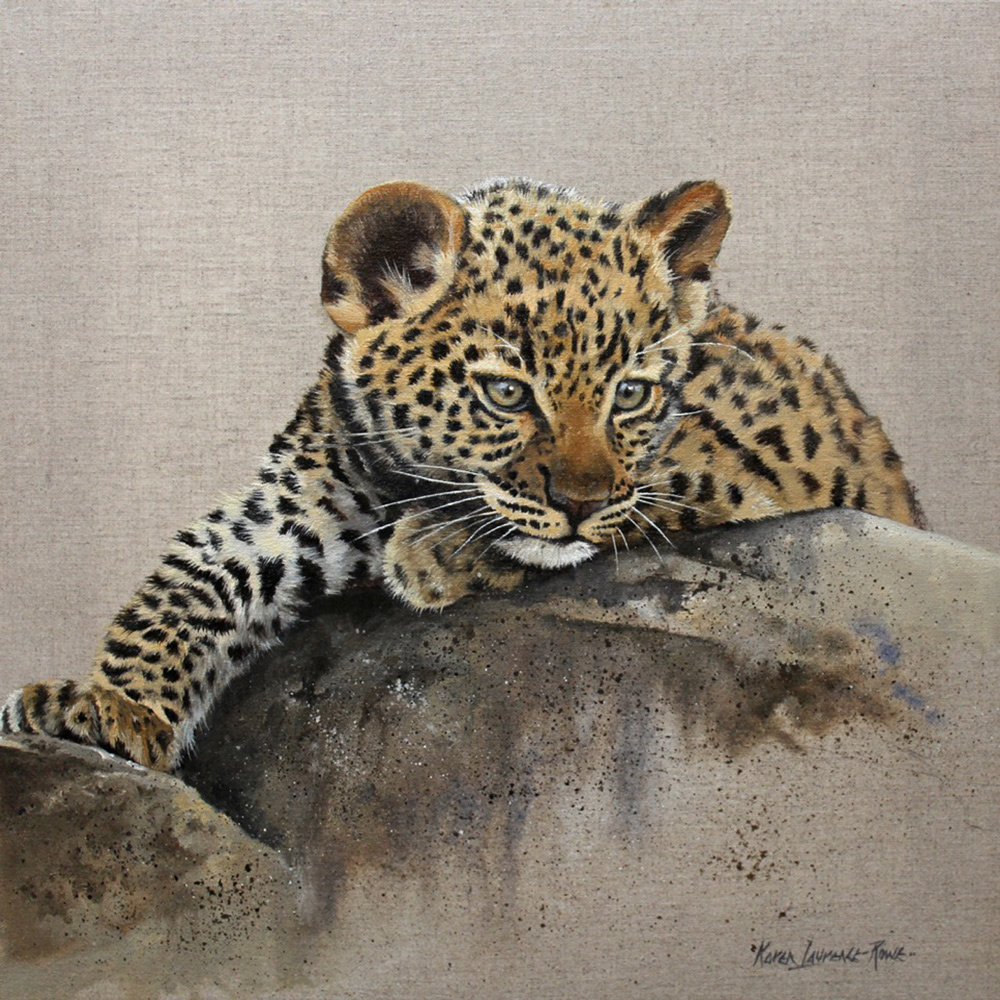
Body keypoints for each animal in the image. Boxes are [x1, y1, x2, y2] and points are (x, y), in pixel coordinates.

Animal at [1, 177, 924, 771]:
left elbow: (655, 484)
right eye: (506, 392)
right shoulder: (287, 505)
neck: (407, 482)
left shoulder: (744, 449)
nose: (580, 502)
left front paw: (433, 552)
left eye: (630, 393)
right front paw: (107, 708)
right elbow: (181, 585)